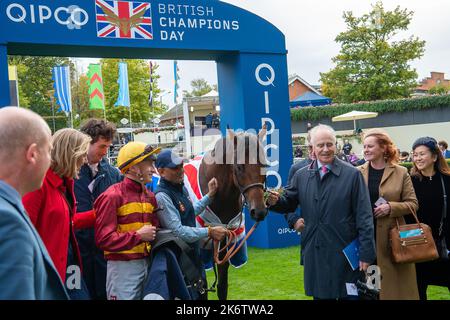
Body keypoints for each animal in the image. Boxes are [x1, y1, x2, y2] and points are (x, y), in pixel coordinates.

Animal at [192, 127, 268, 300]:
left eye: (264, 165)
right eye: (239, 167)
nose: (259, 211)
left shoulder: (225, 240)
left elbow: (222, 287)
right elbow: (201, 287)